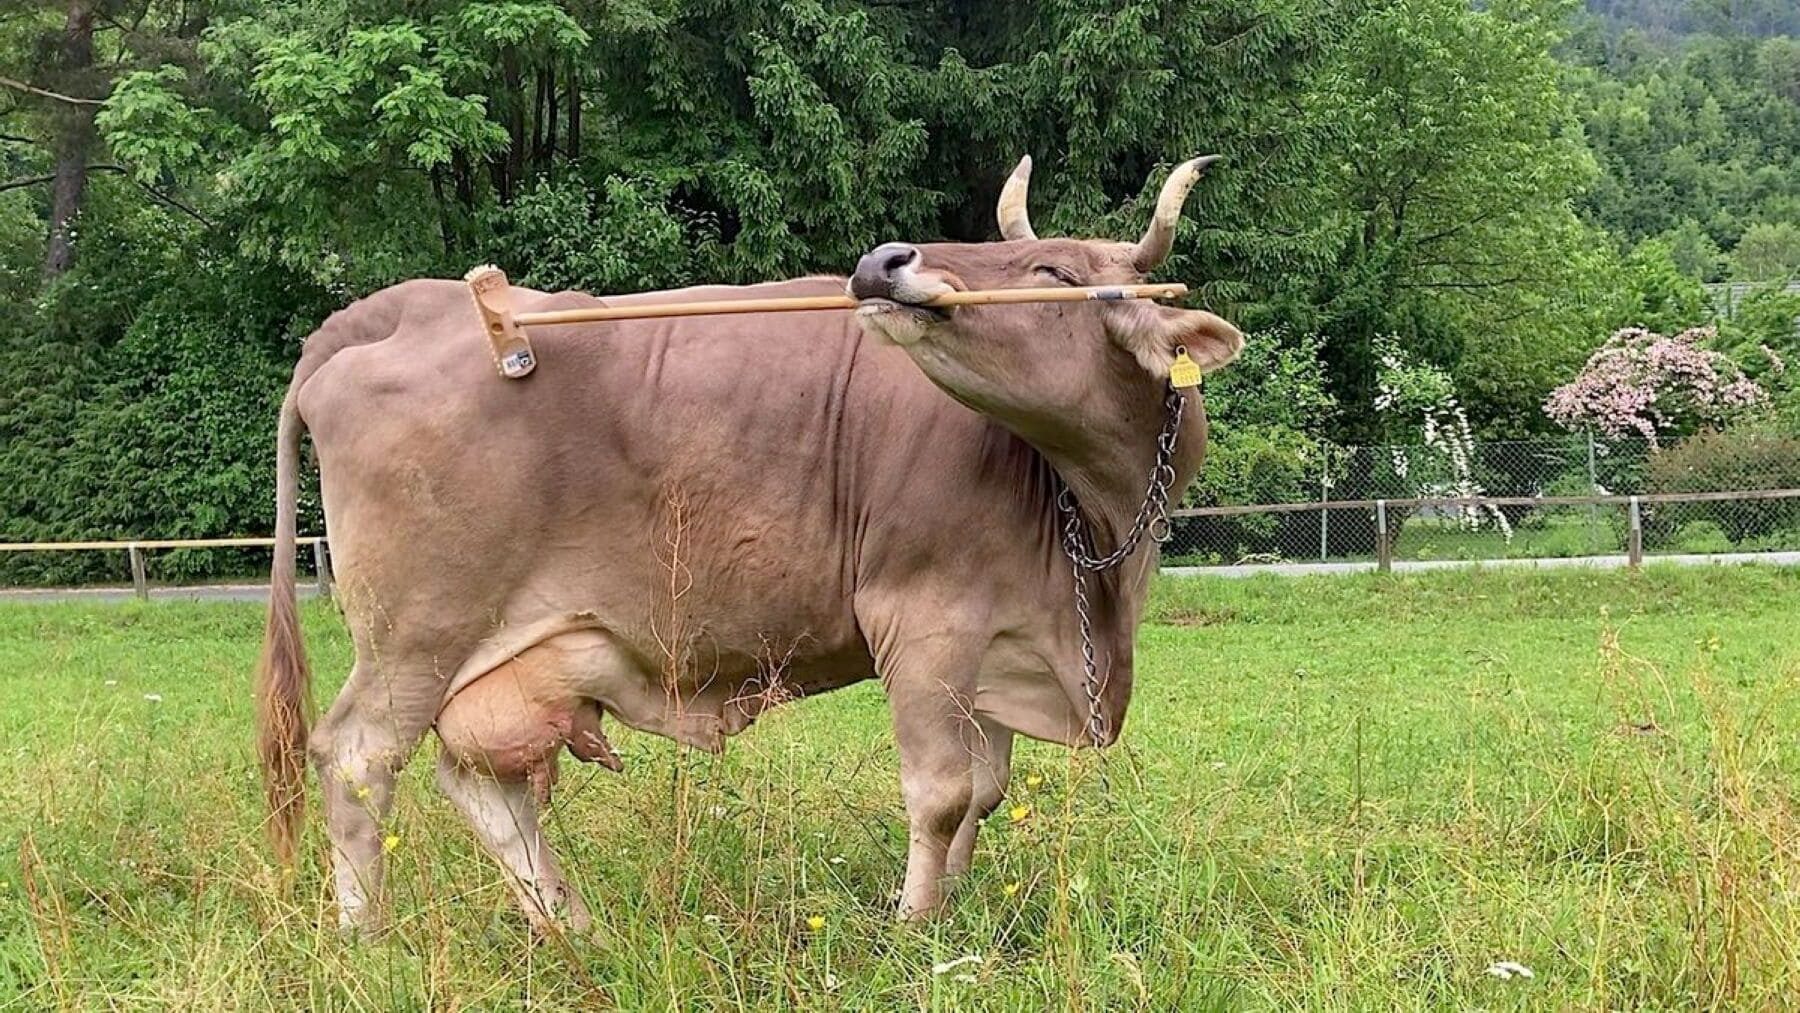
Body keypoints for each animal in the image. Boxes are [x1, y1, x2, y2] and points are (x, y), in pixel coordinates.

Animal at [255, 155, 1245, 934]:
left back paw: (573, 924)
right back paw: (368, 937)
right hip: (416, 636)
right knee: (356, 759)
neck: (1098, 536)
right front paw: (917, 926)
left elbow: (987, 789)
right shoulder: (925, 620)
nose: (883, 260)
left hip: (493, 654)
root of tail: (393, 309)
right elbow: (941, 793)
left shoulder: (1001, 639)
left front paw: (959, 904)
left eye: (1051, 270)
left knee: (474, 780)